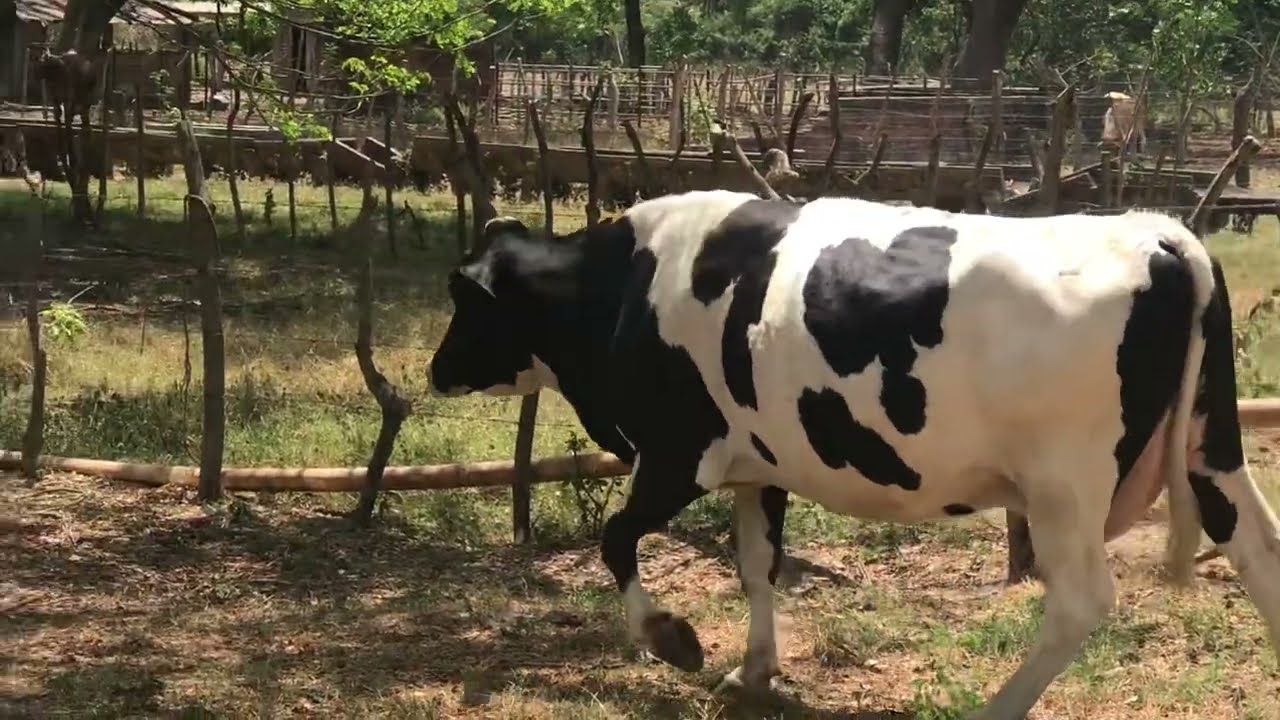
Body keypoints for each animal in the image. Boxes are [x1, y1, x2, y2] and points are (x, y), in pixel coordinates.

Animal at [427, 190, 1280, 719]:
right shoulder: (759, 464)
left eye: (465, 300)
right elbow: (756, 562)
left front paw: (672, 638)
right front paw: (753, 670)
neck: (629, 285)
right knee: (1259, 552)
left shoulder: (678, 453)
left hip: (1064, 485)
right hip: (1210, 451)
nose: (435, 371)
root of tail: (1153, 230)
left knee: (1081, 603)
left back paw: (997, 705)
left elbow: (616, 538)